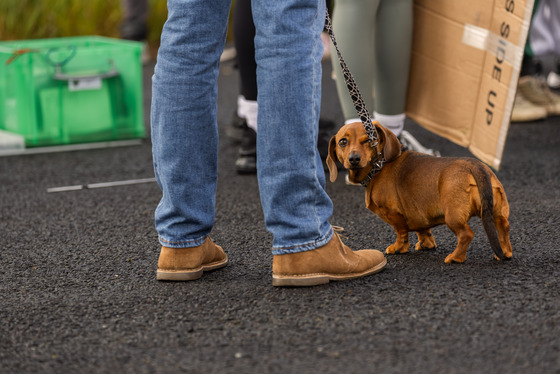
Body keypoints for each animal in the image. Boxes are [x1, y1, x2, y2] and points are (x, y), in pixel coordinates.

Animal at [326, 122, 516, 262]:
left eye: (368, 141)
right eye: (342, 142)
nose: (354, 159)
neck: (379, 166)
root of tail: (475, 166)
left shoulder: (395, 214)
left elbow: (401, 233)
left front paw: (398, 248)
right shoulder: (418, 214)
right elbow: (423, 230)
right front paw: (426, 244)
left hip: (453, 216)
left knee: (466, 235)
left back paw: (455, 258)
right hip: (497, 211)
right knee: (504, 227)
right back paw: (505, 253)